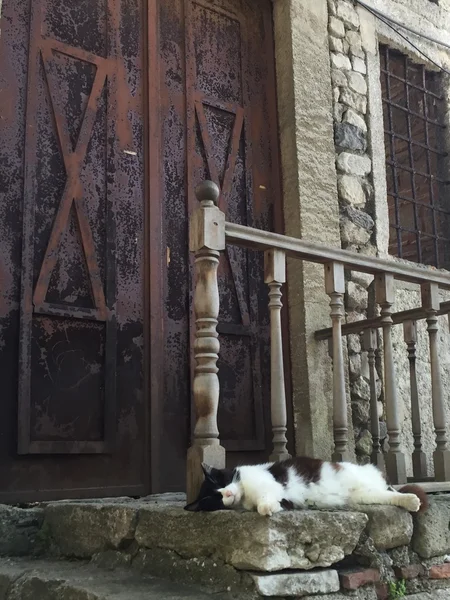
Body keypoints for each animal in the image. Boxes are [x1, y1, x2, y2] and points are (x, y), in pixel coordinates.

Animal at [184, 454, 428, 516]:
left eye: (221, 482)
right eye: (214, 498)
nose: (225, 493)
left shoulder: (268, 485)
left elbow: (264, 500)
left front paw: (268, 509)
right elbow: (271, 502)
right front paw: (274, 507)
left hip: (364, 483)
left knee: (392, 490)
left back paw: (411, 499)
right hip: (365, 496)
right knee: (388, 495)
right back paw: (410, 502)